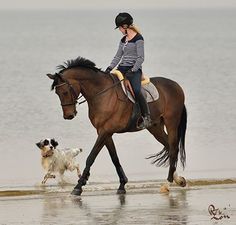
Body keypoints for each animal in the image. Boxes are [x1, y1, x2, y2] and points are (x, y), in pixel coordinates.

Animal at [46, 56, 187, 195]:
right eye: (57, 93)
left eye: (65, 92)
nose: (68, 115)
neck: (102, 93)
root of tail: (177, 86)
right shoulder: (104, 132)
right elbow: (114, 158)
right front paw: (122, 184)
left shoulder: (105, 131)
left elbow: (91, 157)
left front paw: (78, 186)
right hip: (155, 127)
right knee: (169, 146)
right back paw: (178, 180)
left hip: (171, 122)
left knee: (173, 149)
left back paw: (167, 184)